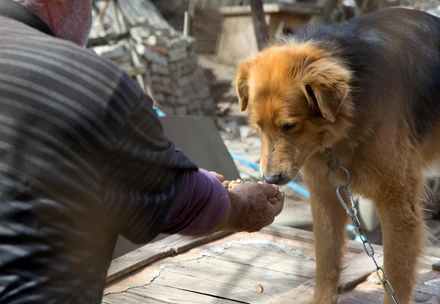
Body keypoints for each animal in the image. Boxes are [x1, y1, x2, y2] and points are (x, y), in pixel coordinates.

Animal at [232, 7, 438, 304]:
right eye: (257, 127)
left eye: (289, 126)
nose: (270, 179)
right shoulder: (325, 193)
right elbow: (326, 259)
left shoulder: (398, 201)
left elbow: (397, 275)